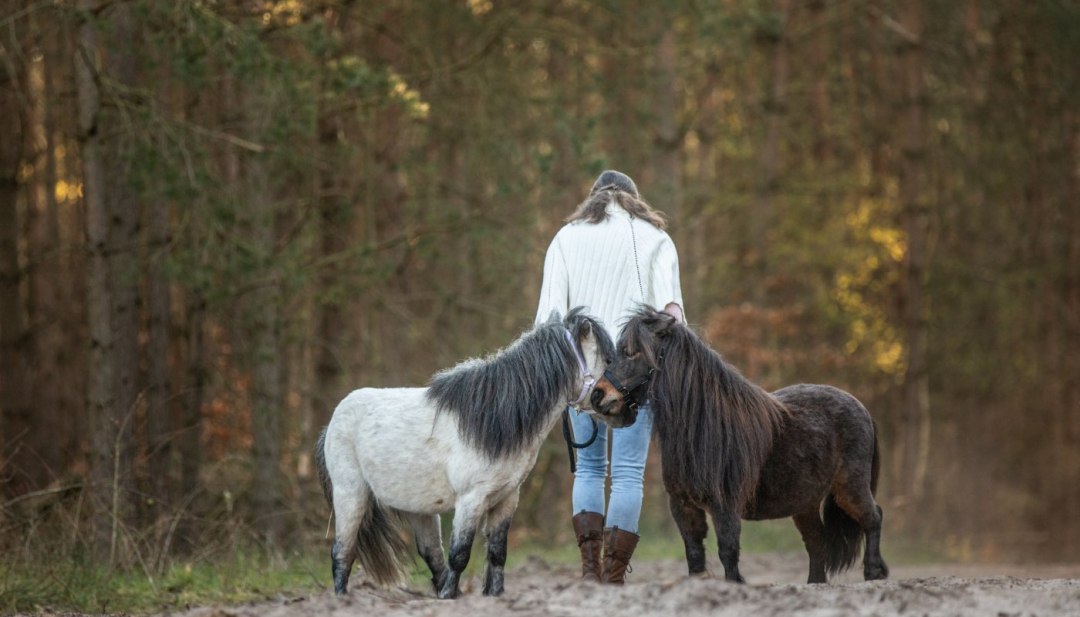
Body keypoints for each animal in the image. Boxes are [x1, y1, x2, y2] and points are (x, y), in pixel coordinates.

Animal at [315, 308, 614, 599]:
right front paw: (450, 597)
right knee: (342, 552)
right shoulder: (471, 499)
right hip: (351, 495)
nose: (617, 403)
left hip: (418, 507)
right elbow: (459, 555)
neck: (492, 420)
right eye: (609, 360)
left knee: (431, 555)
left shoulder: (506, 500)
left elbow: (497, 553)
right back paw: (342, 599)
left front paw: (494, 595)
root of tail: (332, 422)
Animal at [590, 306, 889, 585]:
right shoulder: (683, 506)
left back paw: (874, 573)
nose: (597, 396)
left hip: (849, 489)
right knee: (817, 542)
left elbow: (728, 551)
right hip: (806, 503)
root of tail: (861, 407)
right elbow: (694, 553)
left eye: (632, 353)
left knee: (873, 517)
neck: (704, 428)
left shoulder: (725, 507)